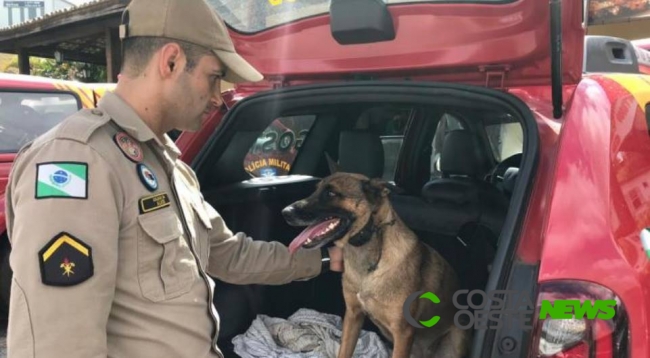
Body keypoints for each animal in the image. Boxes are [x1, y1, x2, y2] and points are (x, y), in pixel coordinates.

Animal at [280, 173, 468, 358]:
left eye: (331, 193)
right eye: (315, 190)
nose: (285, 212)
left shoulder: (403, 333)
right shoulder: (353, 316)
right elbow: (344, 351)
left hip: (456, 339)